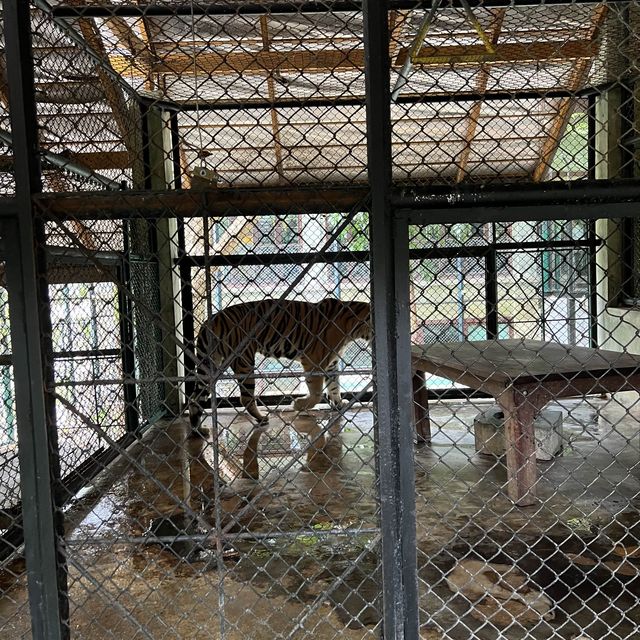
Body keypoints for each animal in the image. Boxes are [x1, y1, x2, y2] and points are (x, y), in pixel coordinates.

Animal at [188, 298, 372, 430]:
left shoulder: (331, 364)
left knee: (195, 396)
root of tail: (210, 320)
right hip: (244, 361)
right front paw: (298, 405)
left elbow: (334, 386)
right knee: (245, 398)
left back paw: (196, 426)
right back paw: (262, 418)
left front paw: (339, 404)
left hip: (211, 363)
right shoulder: (313, 361)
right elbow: (316, 393)